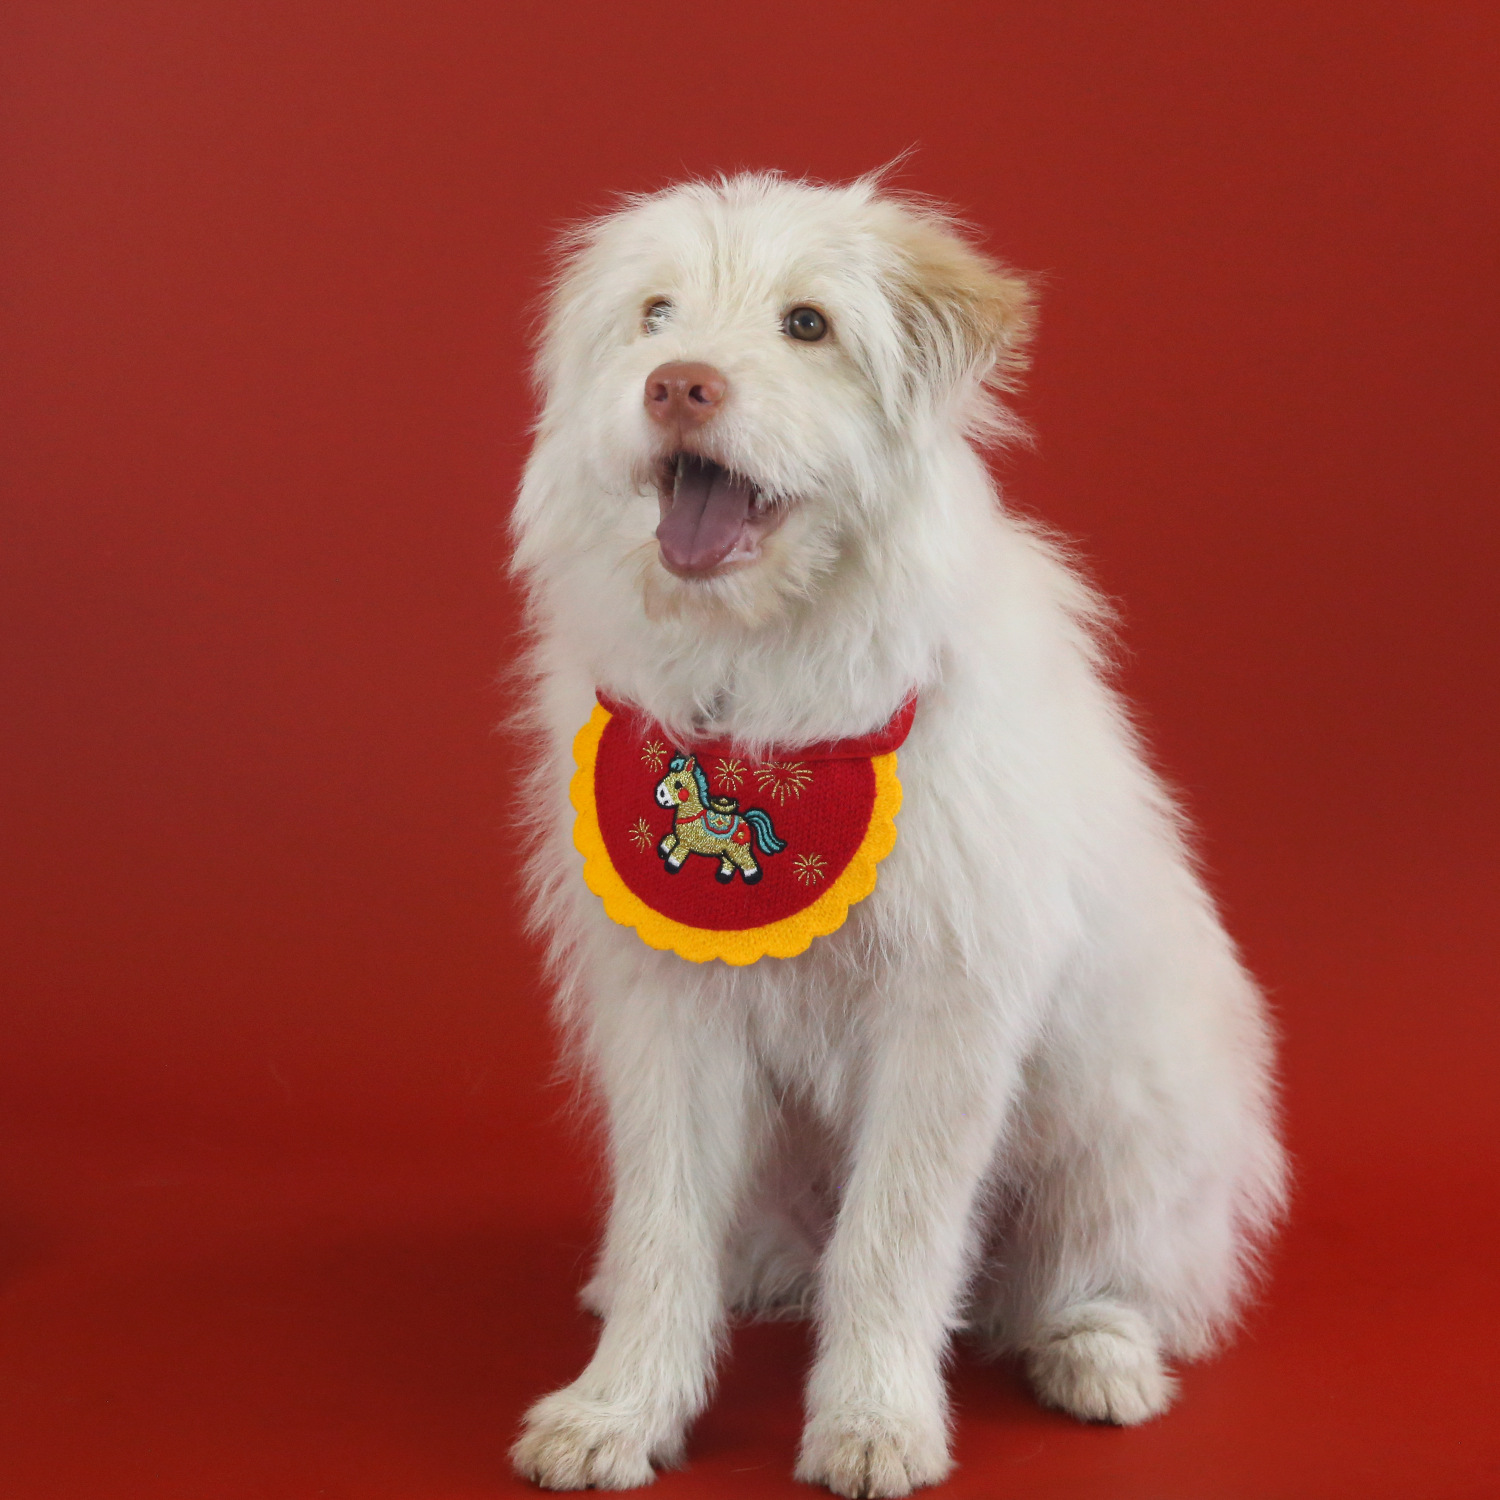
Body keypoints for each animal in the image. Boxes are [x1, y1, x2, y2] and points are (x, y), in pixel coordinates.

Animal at [653, 753, 785, 884]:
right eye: (667, 776)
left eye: (678, 784)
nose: (660, 794)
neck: (692, 813)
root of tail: (746, 820)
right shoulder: (679, 837)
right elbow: (669, 838)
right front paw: (663, 850)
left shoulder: (685, 844)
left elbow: (675, 857)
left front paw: (671, 866)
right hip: (726, 851)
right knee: (729, 864)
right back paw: (723, 876)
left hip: (738, 849)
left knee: (747, 862)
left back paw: (752, 877)